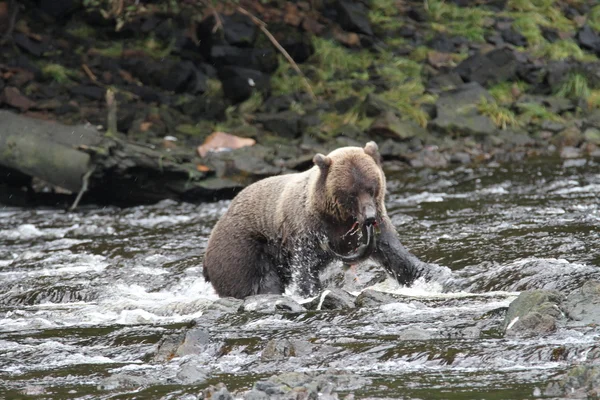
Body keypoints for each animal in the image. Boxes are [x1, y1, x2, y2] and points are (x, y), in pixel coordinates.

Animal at [204, 142, 428, 298]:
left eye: (371, 188)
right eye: (352, 193)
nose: (369, 218)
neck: (337, 218)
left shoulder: (375, 225)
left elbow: (393, 252)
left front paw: (424, 273)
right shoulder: (306, 230)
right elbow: (305, 266)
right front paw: (313, 291)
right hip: (243, 249)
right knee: (256, 281)